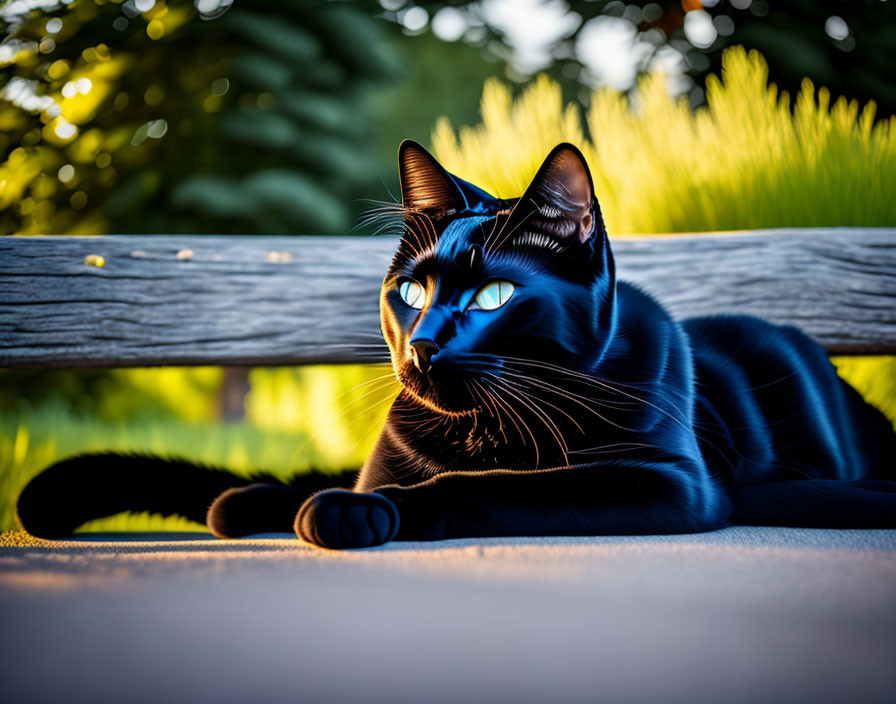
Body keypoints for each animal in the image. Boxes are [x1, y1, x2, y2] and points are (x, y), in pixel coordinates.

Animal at [15, 143, 896, 548]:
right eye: (411, 293)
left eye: (494, 297)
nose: (422, 347)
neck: (482, 431)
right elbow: (324, 479)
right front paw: (255, 500)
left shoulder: (666, 479)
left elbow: (492, 486)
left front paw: (356, 513)